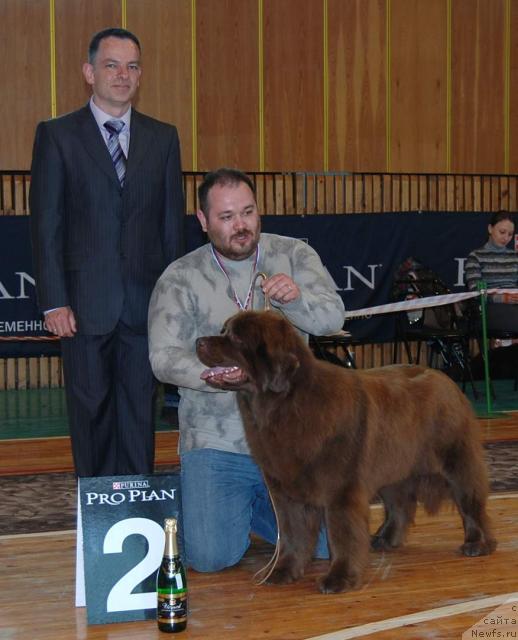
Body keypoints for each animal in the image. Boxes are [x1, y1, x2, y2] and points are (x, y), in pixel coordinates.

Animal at [197, 310, 498, 596]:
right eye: (223, 330)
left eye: (236, 338)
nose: (198, 341)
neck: (286, 404)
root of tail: (445, 378)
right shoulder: (286, 492)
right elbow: (292, 535)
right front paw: (283, 572)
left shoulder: (341, 490)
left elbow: (341, 536)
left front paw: (339, 579)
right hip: (393, 466)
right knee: (400, 504)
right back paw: (385, 539)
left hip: (456, 462)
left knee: (471, 503)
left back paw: (479, 543)